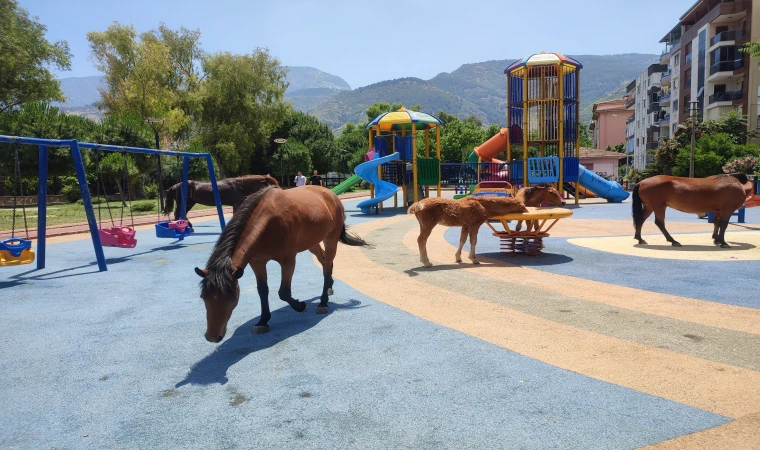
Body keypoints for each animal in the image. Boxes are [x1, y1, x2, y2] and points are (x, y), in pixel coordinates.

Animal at [193, 185, 366, 342]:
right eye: (203, 297)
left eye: (233, 299)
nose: (212, 337)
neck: (269, 221)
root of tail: (331, 194)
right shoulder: (257, 262)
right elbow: (262, 290)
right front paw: (263, 321)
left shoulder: (288, 260)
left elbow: (284, 292)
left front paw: (300, 306)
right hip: (312, 243)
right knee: (325, 262)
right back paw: (329, 286)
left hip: (331, 239)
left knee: (327, 265)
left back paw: (323, 302)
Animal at [628, 173, 756, 250]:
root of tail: (641, 182)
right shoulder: (727, 210)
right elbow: (723, 225)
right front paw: (723, 242)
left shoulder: (718, 211)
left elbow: (716, 223)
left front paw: (716, 239)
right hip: (659, 207)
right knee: (659, 223)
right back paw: (673, 241)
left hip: (649, 207)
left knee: (640, 220)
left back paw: (640, 239)